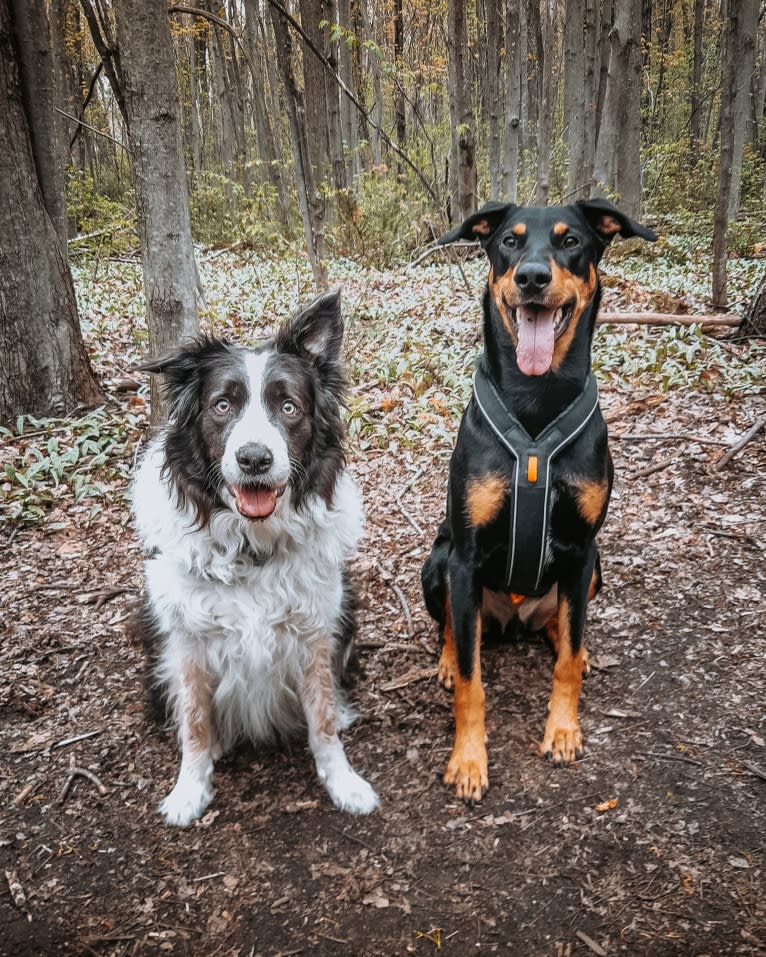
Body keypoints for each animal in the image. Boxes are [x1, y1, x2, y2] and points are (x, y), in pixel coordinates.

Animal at [136, 290, 384, 820]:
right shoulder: (186, 641)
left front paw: (343, 782)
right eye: (221, 405)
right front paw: (189, 790)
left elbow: (322, 718)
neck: (251, 547)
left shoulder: (315, 631)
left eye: (289, 407)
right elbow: (194, 721)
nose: (254, 459)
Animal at [424, 198, 656, 804]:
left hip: (593, 570)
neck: (536, 397)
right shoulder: (464, 554)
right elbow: (472, 682)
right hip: (437, 562)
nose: (531, 278)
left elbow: (568, 661)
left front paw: (563, 730)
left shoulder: (581, 548)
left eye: (570, 240)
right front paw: (469, 760)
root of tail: (516, 616)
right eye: (509, 241)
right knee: (455, 626)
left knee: (565, 626)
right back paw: (448, 656)